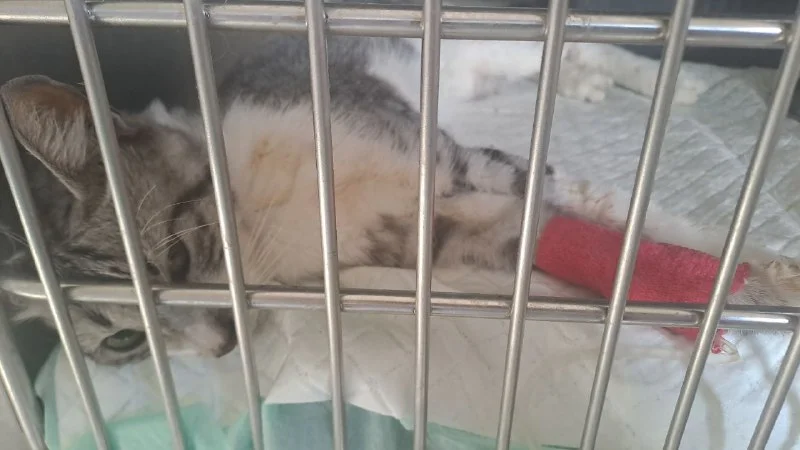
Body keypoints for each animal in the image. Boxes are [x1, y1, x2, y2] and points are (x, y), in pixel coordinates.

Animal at [0, 35, 796, 365]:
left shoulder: (452, 159)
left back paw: (677, 75)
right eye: (125, 343)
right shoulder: (425, 238)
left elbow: (603, 207)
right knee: (553, 64)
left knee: (576, 42)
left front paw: (747, 269)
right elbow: (530, 236)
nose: (219, 347)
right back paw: (594, 85)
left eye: (174, 262)